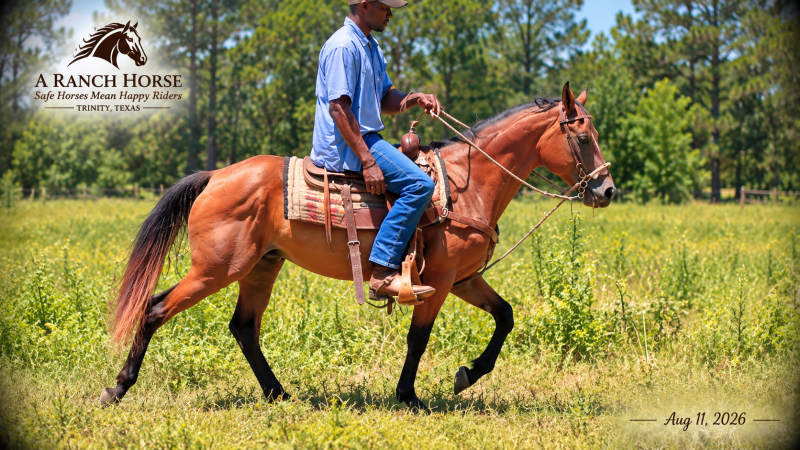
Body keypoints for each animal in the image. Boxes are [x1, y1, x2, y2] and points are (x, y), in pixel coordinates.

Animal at [100, 82, 616, 410]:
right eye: (582, 136)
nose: (607, 190)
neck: (466, 185)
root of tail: (214, 176)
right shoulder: (440, 280)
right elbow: (419, 337)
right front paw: (409, 396)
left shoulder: (464, 278)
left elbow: (505, 316)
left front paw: (468, 374)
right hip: (217, 269)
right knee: (156, 308)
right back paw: (118, 388)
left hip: (261, 267)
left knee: (244, 328)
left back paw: (279, 394)